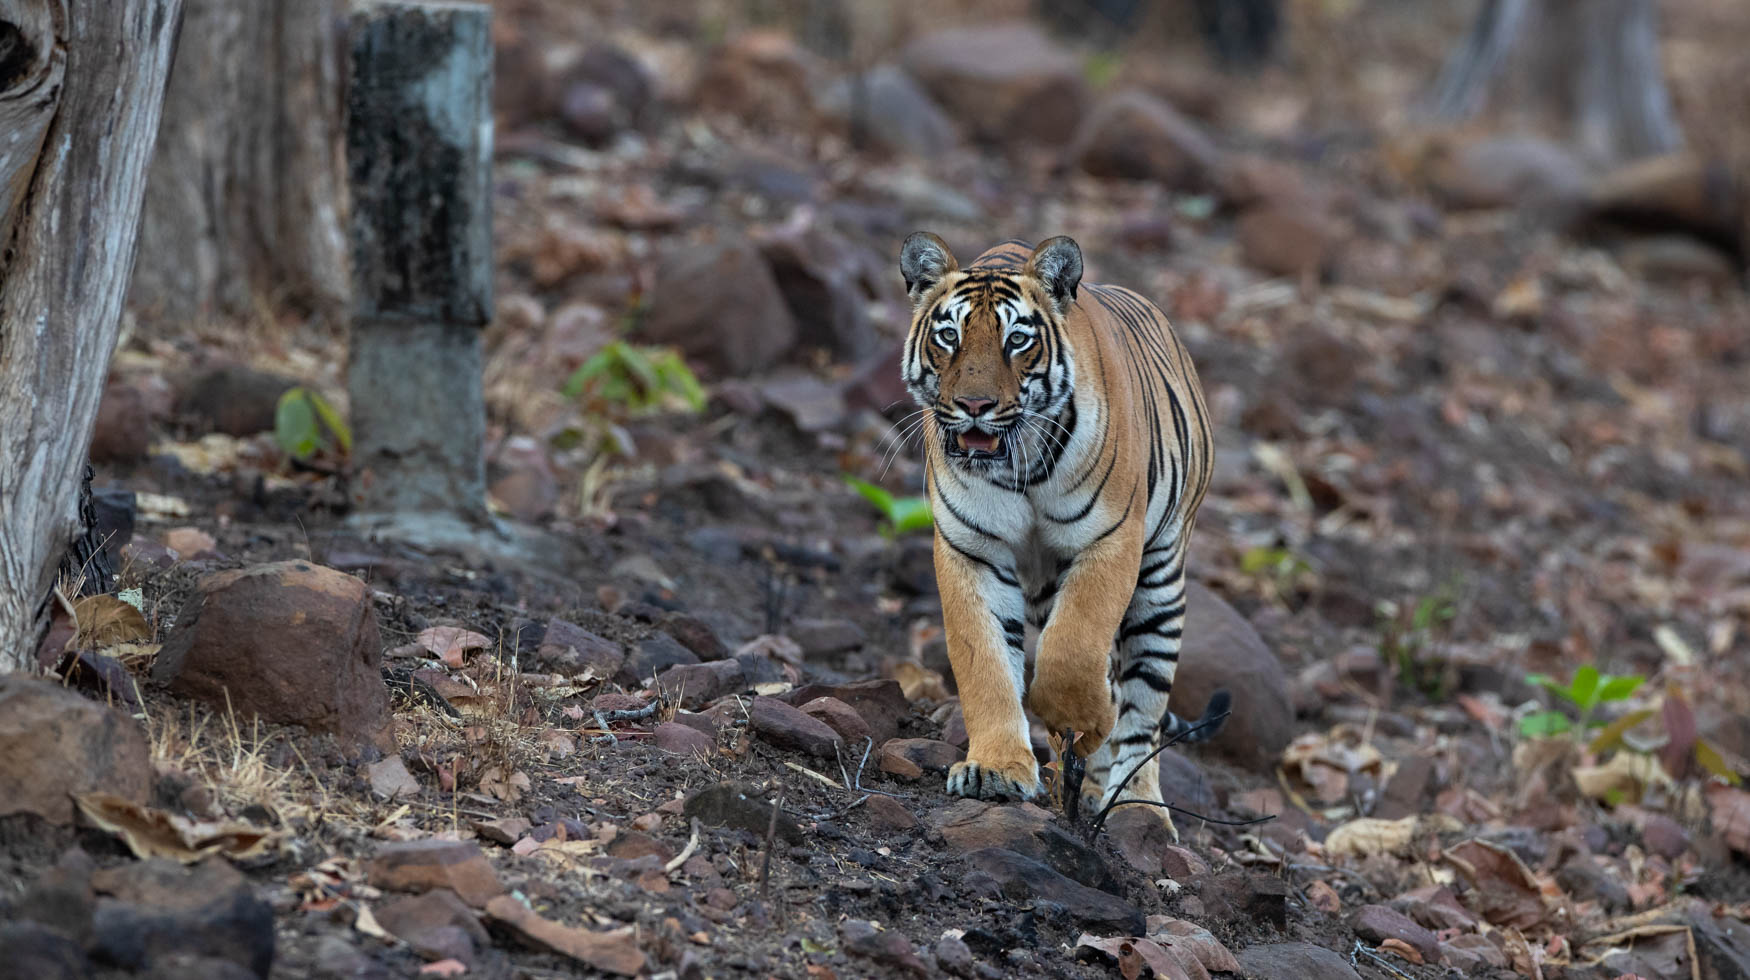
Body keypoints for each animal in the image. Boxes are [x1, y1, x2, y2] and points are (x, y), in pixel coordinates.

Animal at [903, 232, 1232, 829]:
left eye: (1016, 340)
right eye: (948, 336)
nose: (975, 406)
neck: (1019, 466)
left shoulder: (1111, 542)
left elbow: (1073, 648)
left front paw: (1080, 716)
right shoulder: (972, 552)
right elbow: (985, 663)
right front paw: (997, 769)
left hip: (1161, 580)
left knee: (1144, 708)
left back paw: (1139, 806)